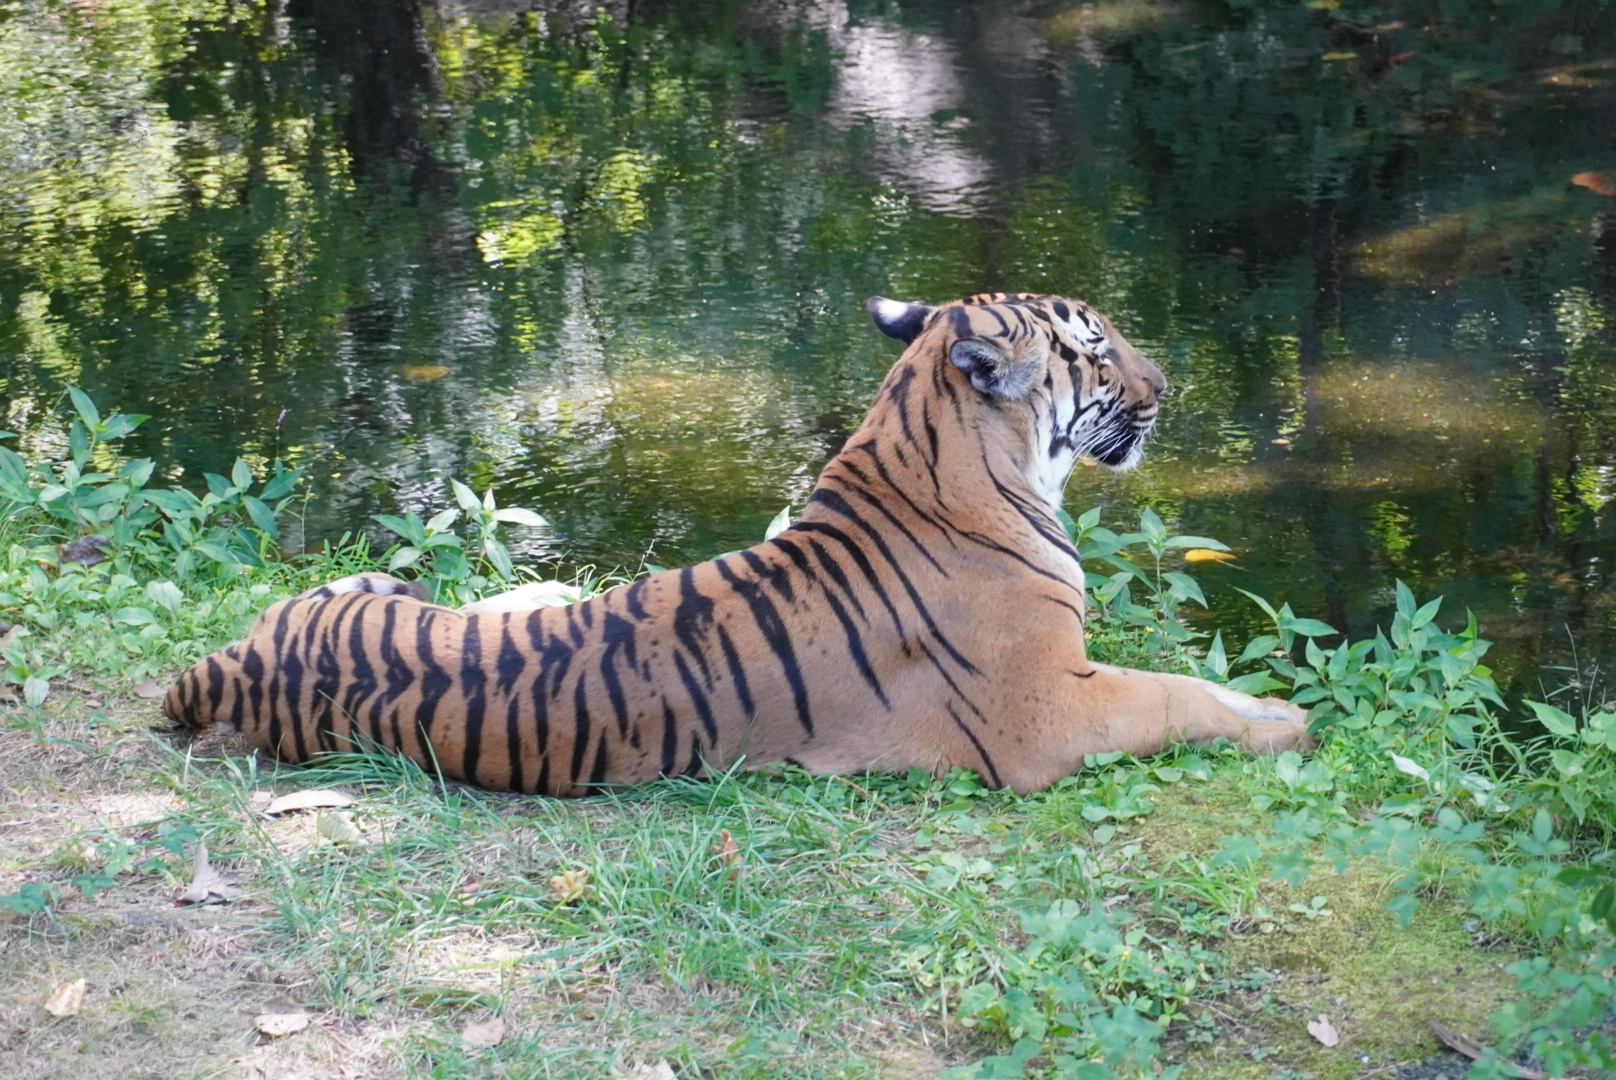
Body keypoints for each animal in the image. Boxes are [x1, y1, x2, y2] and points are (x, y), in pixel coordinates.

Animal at [164, 292, 1310, 796]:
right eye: (1096, 349)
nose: (1167, 388)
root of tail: (236, 665)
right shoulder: (1045, 715)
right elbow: (1171, 698)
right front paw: (1283, 723)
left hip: (359, 590)